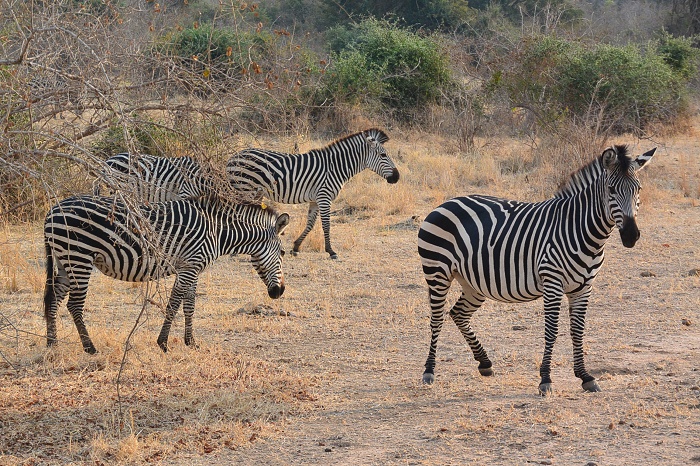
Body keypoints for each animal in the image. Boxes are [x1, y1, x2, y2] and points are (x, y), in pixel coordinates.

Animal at [43, 194, 290, 354]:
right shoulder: (189, 267)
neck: (217, 232)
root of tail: (52, 211)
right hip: (78, 257)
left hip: (64, 261)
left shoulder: (192, 267)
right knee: (74, 305)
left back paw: (52, 344)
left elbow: (189, 305)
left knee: (53, 299)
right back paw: (89, 347)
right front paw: (163, 343)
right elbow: (173, 304)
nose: (279, 292)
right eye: (283, 252)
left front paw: (191, 342)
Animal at [226, 128, 400, 258]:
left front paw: (296, 247)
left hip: (254, 192)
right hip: (244, 189)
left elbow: (310, 223)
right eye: (383, 155)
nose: (397, 177)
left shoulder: (316, 199)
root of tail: (233, 157)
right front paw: (331, 251)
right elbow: (326, 225)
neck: (335, 167)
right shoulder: (324, 197)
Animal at [422, 145, 656, 394]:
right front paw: (545, 379)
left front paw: (585, 376)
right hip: (437, 272)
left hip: (473, 282)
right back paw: (429, 371)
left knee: (459, 313)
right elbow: (551, 331)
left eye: (638, 189)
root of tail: (446, 203)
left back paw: (485, 363)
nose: (631, 236)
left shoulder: (584, 287)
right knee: (436, 319)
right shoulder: (552, 281)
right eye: (611, 190)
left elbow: (578, 330)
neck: (581, 229)